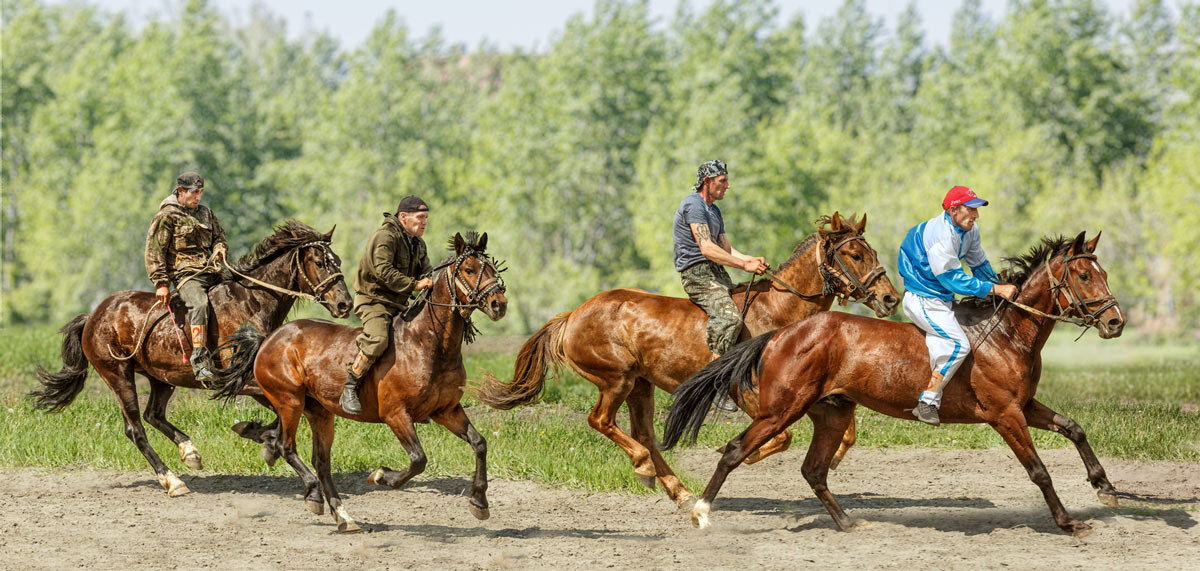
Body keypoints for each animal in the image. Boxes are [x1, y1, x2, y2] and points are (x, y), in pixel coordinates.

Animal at [29, 220, 350, 496]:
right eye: (319, 262)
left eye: (338, 260)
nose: (344, 304)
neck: (250, 302)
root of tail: (93, 316)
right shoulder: (244, 381)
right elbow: (283, 415)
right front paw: (264, 439)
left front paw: (259, 436)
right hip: (118, 375)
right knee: (136, 428)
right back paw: (172, 481)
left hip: (161, 379)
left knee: (154, 415)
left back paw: (190, 452)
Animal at [216, 230, 506, 530]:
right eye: (469, 269)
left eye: (492, 267)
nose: (499, 304)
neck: (428, 343)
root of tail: (267, 340)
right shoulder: (396, 414)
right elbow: (418, 460)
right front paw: (381, 476)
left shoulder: (446, 410)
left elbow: (479, 443)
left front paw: (479, 502)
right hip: (289, 402)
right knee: (288, 447)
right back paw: (312, 493)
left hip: (319, 412)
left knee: (320, 461)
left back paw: (343, 516)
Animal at [472, 213, 897, 508]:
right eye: (855, 254)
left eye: (873, 252)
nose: (890, 298)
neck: (779, 311)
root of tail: (573, 315)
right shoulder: (752, 395)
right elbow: (783, 437)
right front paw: (736, 452)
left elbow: (845, 430)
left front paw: (834, 456)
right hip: (617, 380)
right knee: (602, 421)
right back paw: (644, 468)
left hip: (640, 385)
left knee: (643, 434)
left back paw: (677, 490)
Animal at [667, 230, 1123, 535]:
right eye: (1084, 276)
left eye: (1100, 272)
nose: (1116, 322)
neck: (1006, 333)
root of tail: (780, 335)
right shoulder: (1005, 414)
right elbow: (1039, 471)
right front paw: (1068, 522)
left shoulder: (1024, 405)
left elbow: (1074, 428)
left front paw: (1105, 486)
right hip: (780, 411)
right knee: (735, 451)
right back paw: (700, 511)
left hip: (832, 413)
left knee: (814, 470)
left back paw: (848, 522)